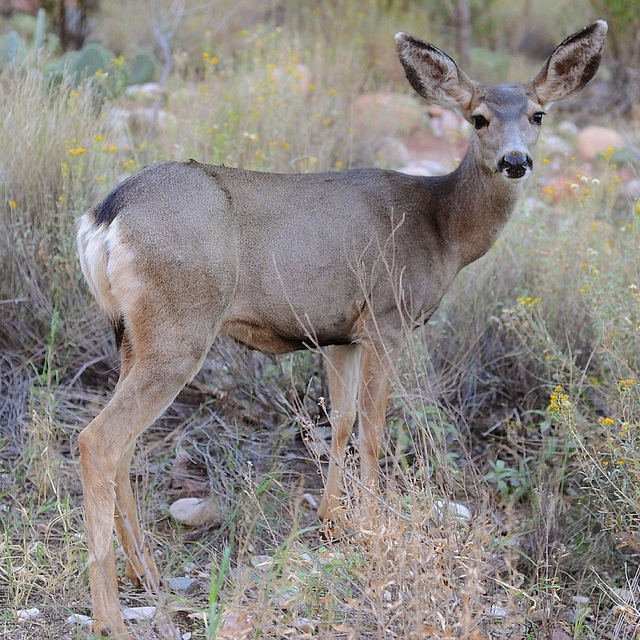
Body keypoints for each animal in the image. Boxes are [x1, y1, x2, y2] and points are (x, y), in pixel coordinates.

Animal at [75, 21, 604, 640]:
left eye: (539, 113)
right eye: (478, 118)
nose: (515, 160)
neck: (441, 229)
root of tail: (103, 218)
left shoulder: (338, 335)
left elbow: (342, 422)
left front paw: (333, 522)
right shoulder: (386, 318)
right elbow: (374, 429)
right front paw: (374, 527)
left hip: (131, 334)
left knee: (125, 444)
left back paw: (147, 573)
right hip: (179, 326)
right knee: (99, 440)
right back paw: (109, 614)